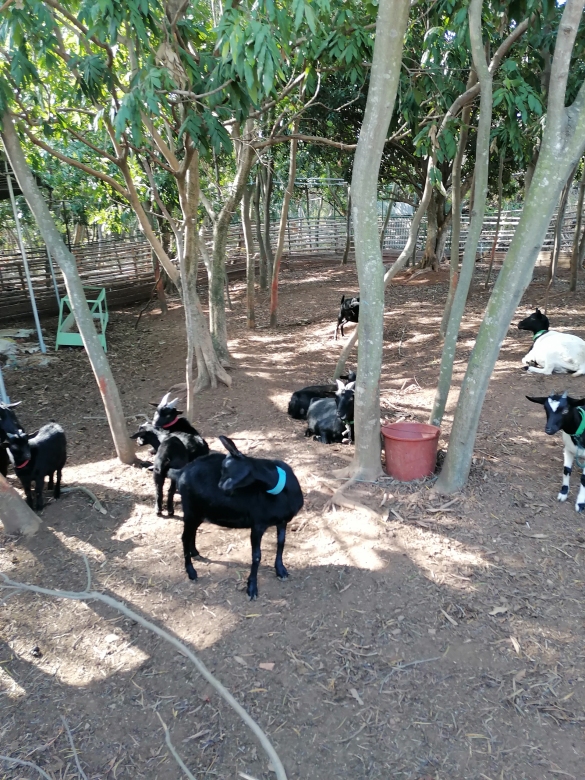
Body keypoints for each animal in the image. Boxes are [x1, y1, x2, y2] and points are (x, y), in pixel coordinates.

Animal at [171, 435, 304, 599]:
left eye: (226, 468)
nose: (221, 488)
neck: (280, 491)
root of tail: (181, 472)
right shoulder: (258, 524)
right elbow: (256, 556)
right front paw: (252, 588)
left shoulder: (282, 521)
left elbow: (281, 544)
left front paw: (281, 570)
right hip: (190, 509)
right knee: (184, 537)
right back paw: (191, 572)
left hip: (199, 511)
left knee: (192, 533)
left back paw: (195, 552)